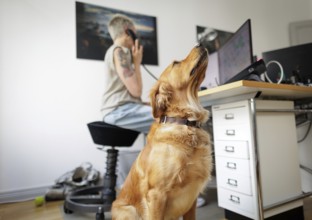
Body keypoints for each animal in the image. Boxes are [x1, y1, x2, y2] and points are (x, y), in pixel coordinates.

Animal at [111, 44, 212, 220]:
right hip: (129, 211)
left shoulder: (192, 197)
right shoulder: (157, 194)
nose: (200, 44)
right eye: (176, 63)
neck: (185, 121)